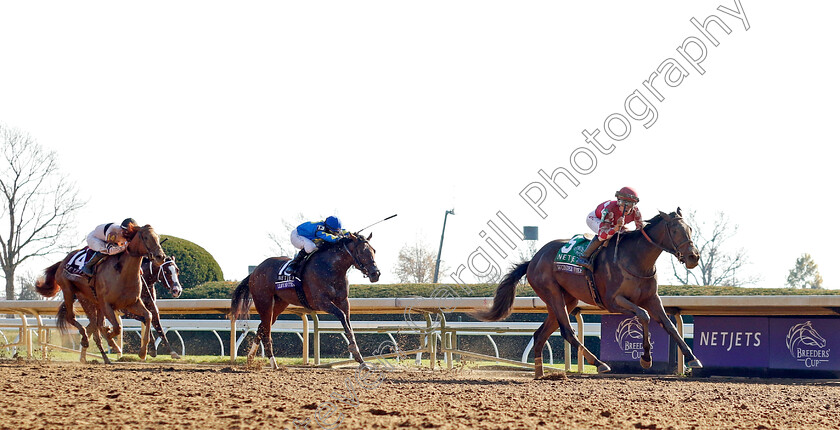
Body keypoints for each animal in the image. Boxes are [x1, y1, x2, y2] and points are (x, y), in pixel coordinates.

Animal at [230, 232, 380, 370]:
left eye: (374, 250)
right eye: (362, 251)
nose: (376, 274)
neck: (331, 268)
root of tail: (255, 271)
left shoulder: (344, 302)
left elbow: (348, 325)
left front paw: (361, 360)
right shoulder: (320, 302)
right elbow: (342, 317)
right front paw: (354, 351)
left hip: (279, 304)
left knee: (262, 327)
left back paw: (250, 359)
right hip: (264, 301)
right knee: (266, 331)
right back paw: (273, 363)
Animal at [480, 210, 704, 378]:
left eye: (690, 229)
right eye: (675, 230)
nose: (693, 257)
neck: (635, 258)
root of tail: (533, 260)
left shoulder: (651, 299)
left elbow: (669, 326)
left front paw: (693, 358)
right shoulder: (614, 301)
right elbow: (644, 316)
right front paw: (646, 358)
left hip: (566, 300)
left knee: (541, 334)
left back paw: (540, 373)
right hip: (552, 293)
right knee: (567, 331)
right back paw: (598, 363)